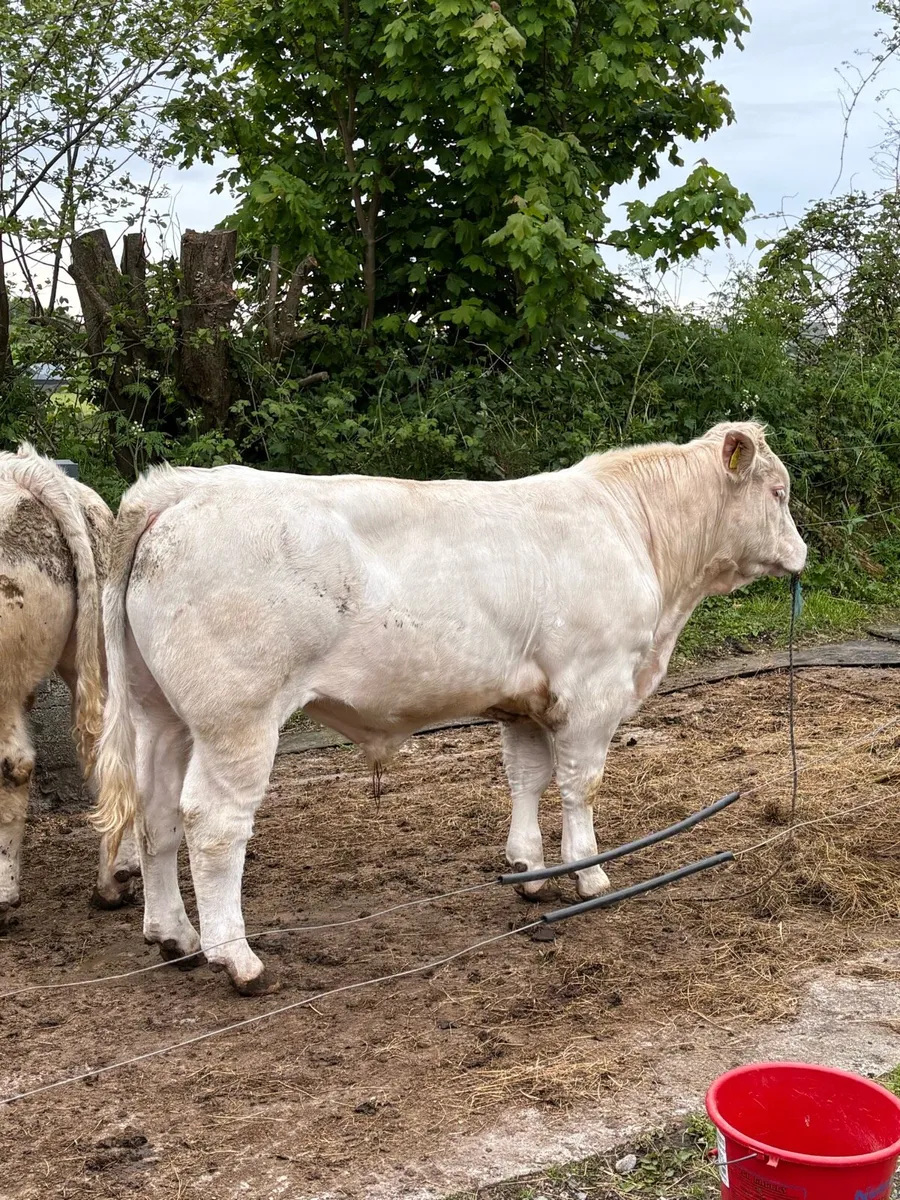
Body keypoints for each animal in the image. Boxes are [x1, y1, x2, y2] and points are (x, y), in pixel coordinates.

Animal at [93, 421, 807, 995]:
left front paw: (528, 870)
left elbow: (527, 779)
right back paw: (236, 959)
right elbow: (580, 785)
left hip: (160, 715)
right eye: (778, 492)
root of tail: (182, 488)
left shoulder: (526, 702)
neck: (637, 535)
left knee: (155, 814)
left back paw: (174, 937)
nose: (802, 552)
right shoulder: (594, 687)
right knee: (213, 823)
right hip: (237, 718)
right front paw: (591, 877)